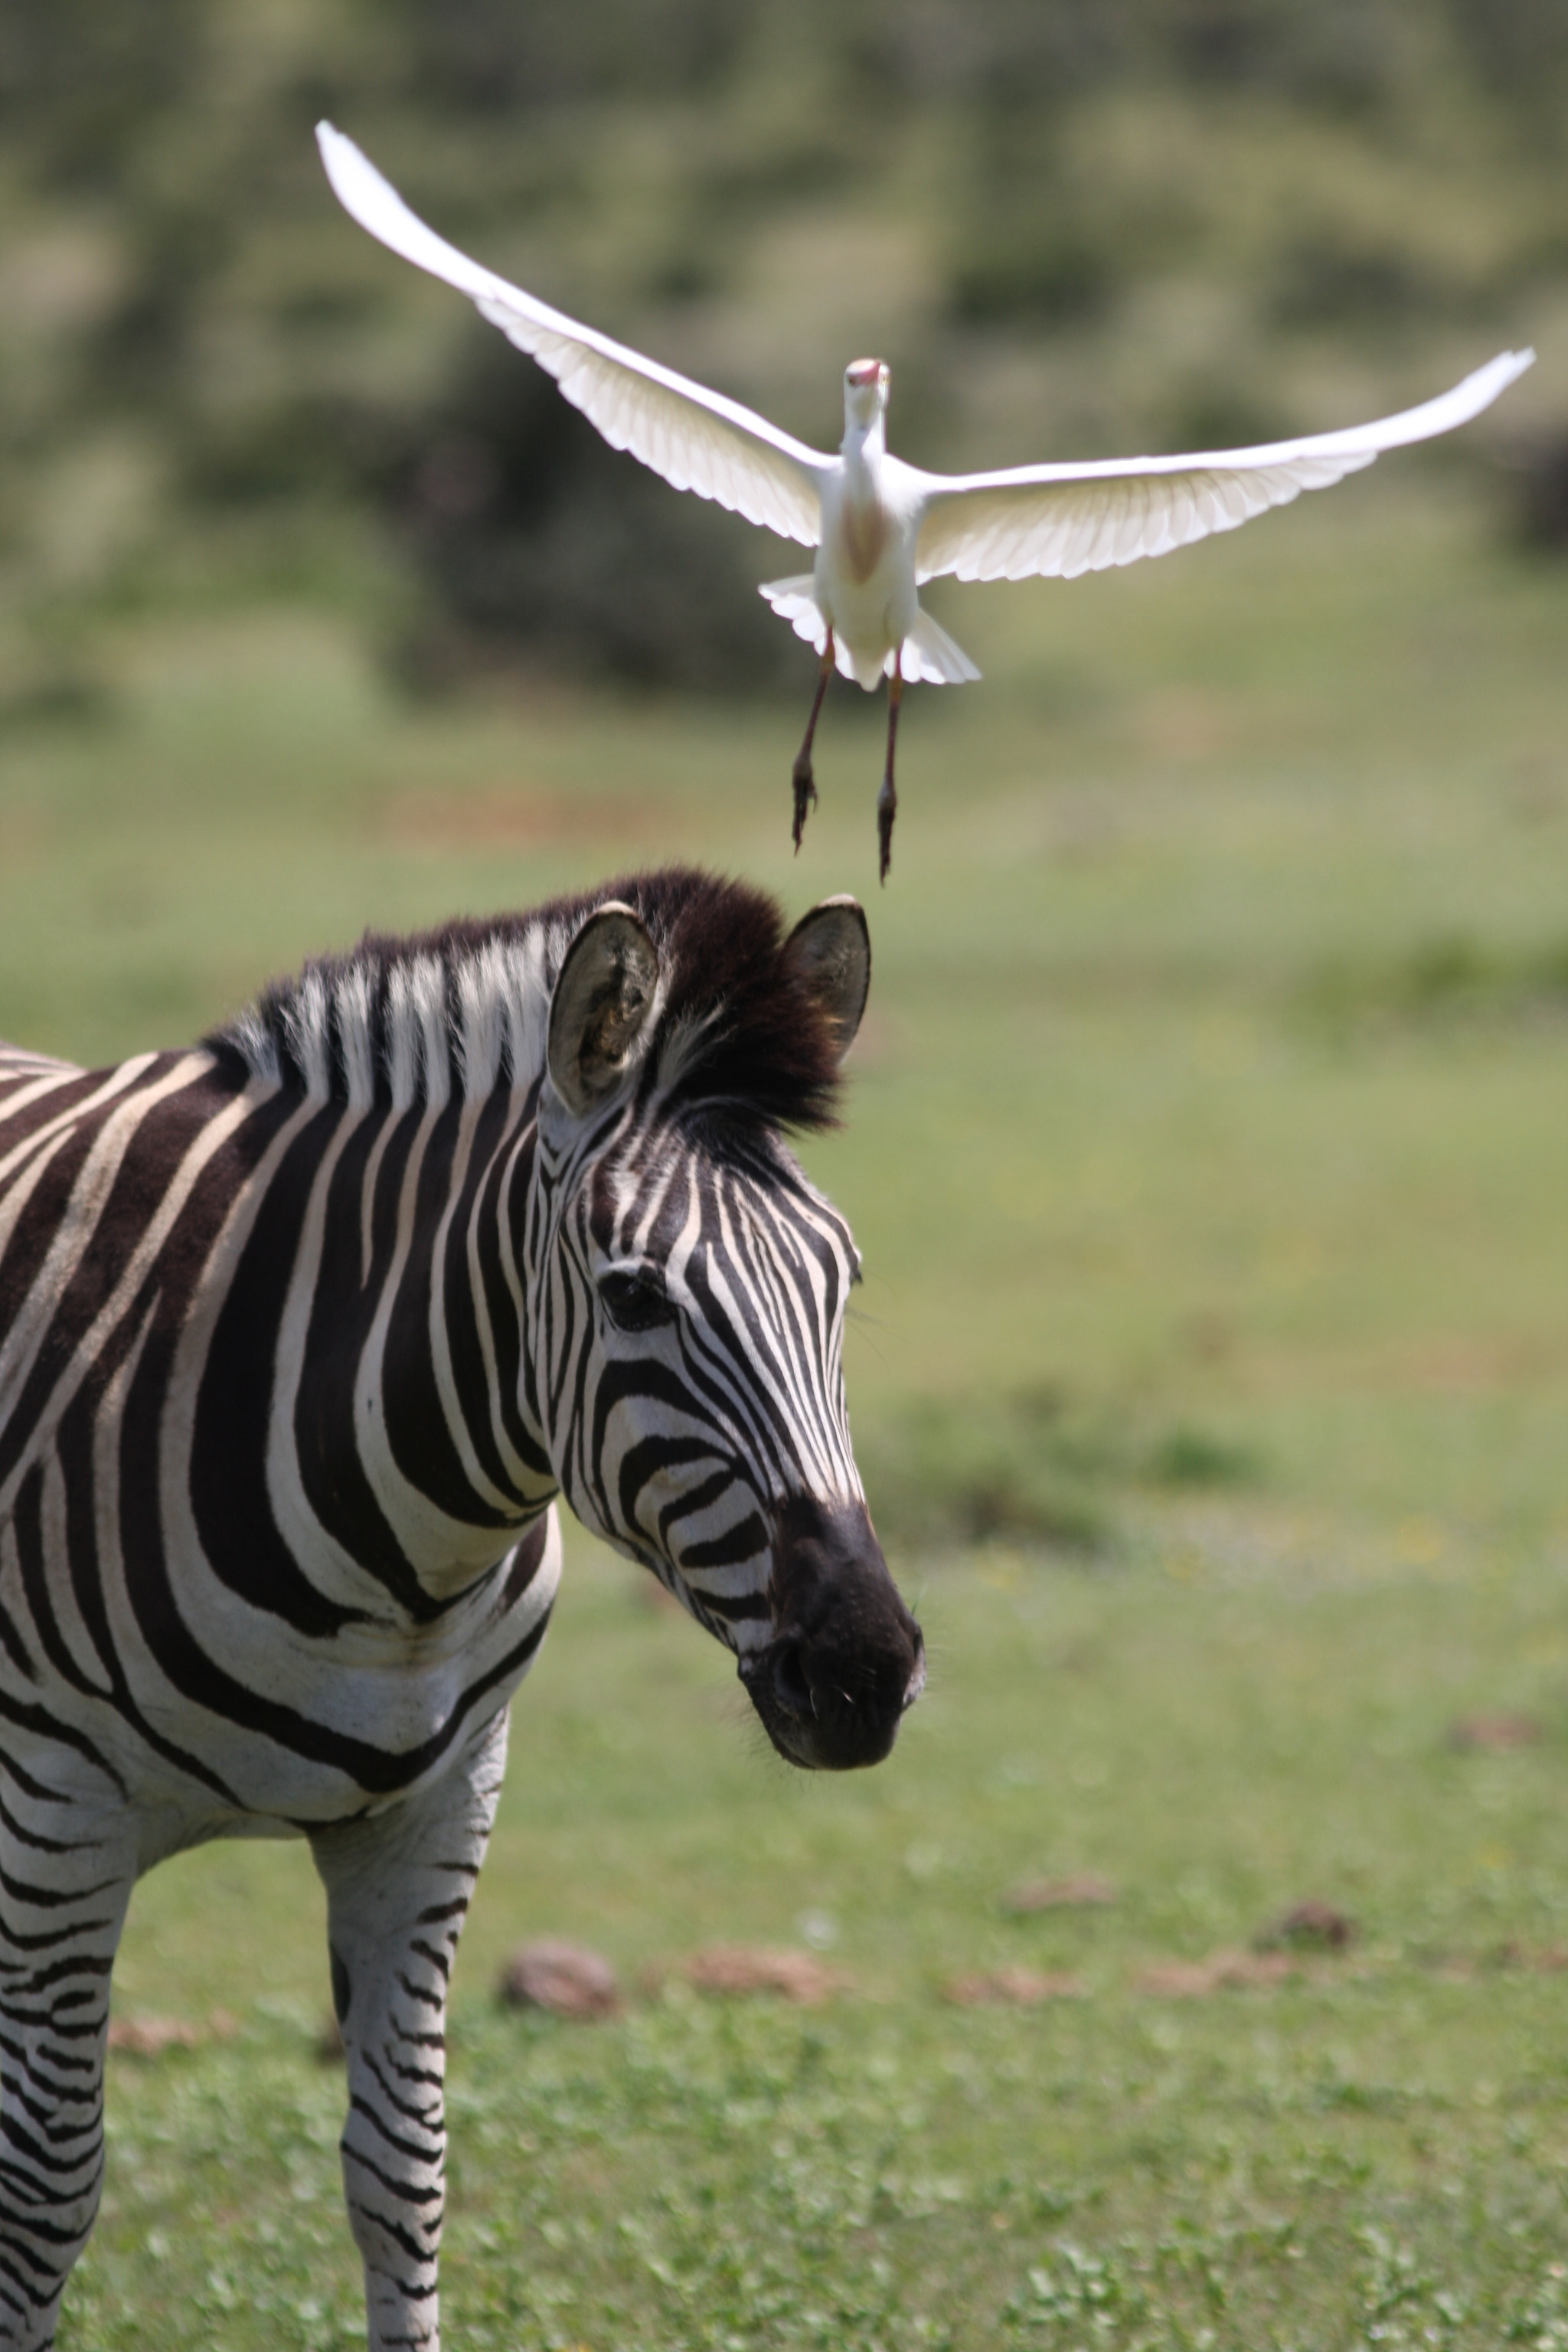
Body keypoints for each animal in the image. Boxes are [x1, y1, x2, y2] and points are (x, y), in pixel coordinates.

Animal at [0, 870, 926, 2352]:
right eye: (634, 1294)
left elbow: (401, 2165)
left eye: (841, 1282)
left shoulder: (436, 1807)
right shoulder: (58, 1804)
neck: (388, 1569)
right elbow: (44, 2193)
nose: (864, 1672)